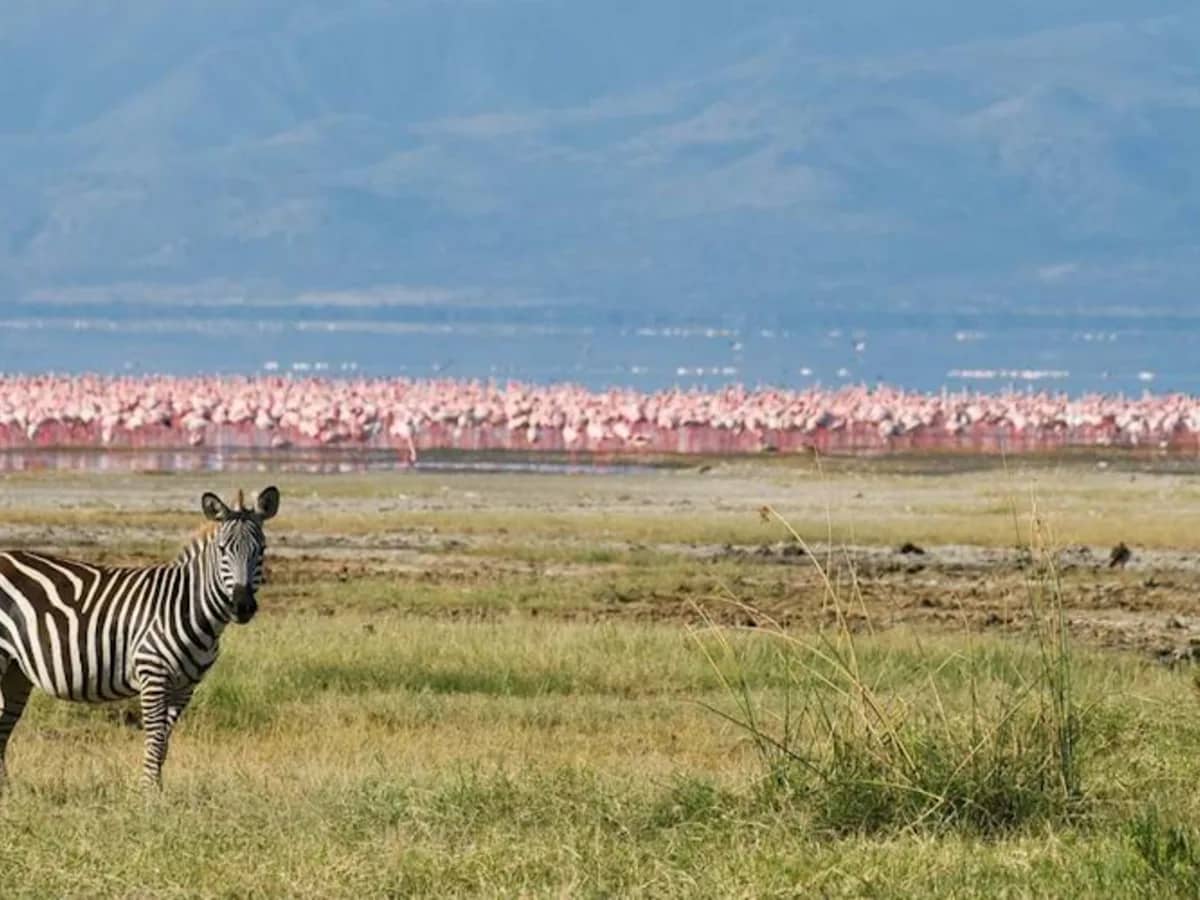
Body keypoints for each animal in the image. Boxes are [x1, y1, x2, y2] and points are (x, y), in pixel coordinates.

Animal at [0, 485, 280, 789]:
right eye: (222, 550)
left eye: (261, 550)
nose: (242, 606)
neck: (188, 606)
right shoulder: (152, 674)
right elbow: (155, 738)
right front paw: (148, 791)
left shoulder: (186, 686)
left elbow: (165, 741)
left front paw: (157, 789)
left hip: (16, 670)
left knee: (4, 723)